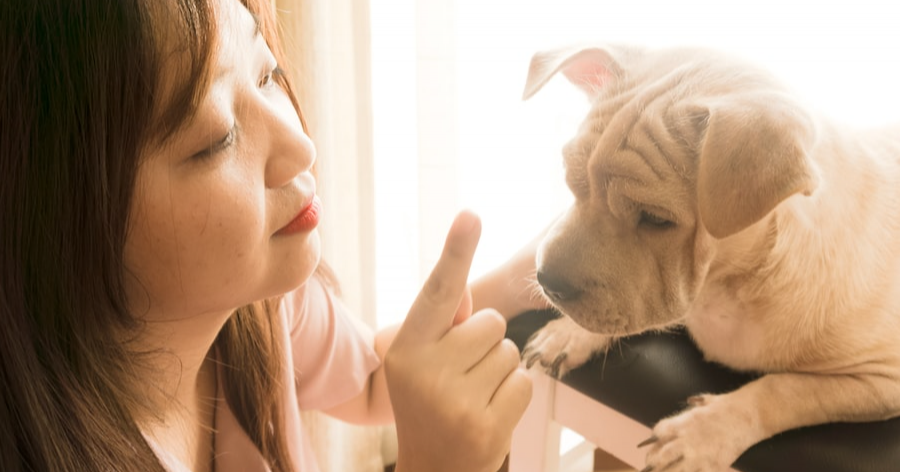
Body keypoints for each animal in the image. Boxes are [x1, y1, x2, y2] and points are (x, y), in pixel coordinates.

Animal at [520, 43, 900, 472]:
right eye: (571, 182)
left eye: (656, 219)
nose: (547, 281)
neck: (731, 285)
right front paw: (570, 332)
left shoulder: (880, 379)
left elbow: (785, 390)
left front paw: (703, 430)